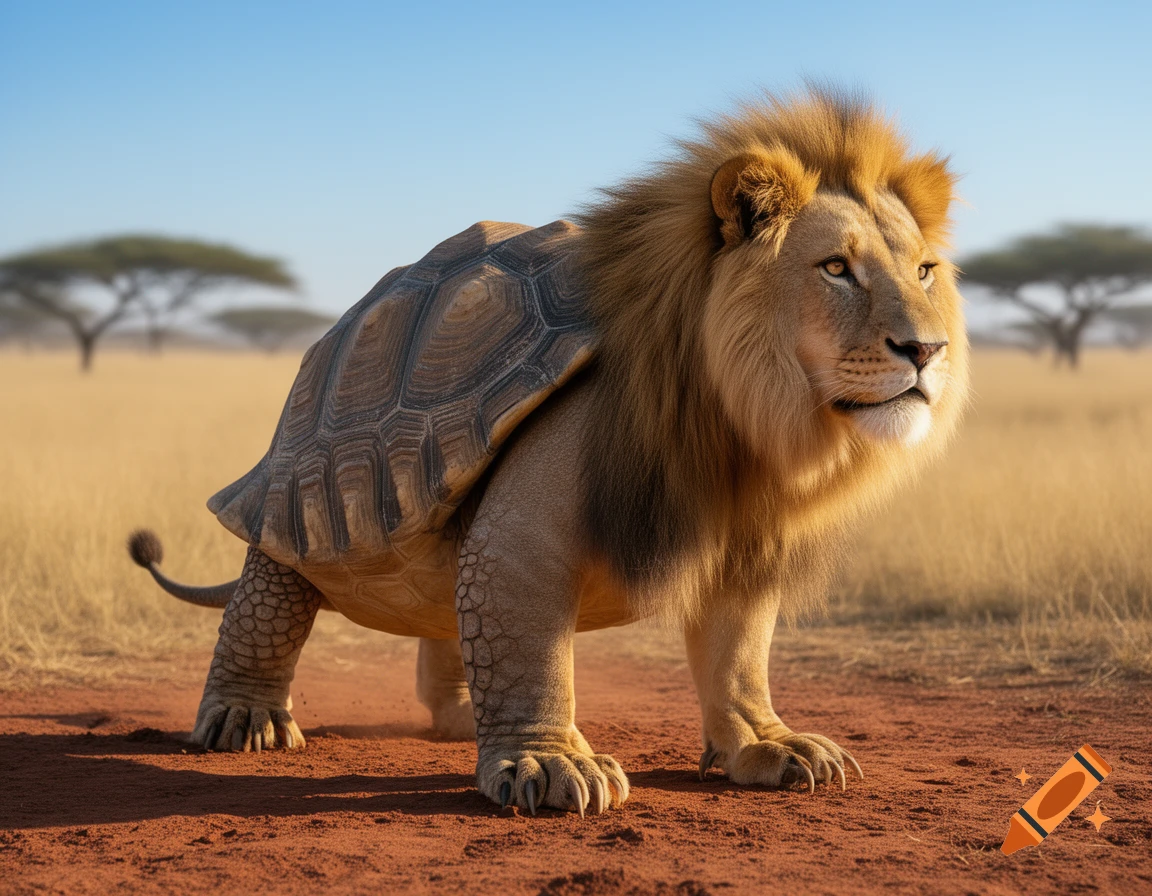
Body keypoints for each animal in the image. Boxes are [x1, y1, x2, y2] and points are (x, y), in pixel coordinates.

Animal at [129, 87, 968, 816]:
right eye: (836, 268)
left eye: (924, 270)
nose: (928, 350)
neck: (729, 426)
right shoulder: (526, 534)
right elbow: (533, 653)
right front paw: (551, 765)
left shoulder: (749, 542)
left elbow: (738, 655)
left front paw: (775, 747)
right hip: (296, 491)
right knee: (265, 603)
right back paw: (244, 722)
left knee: (447, 618)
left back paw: (460, 719)